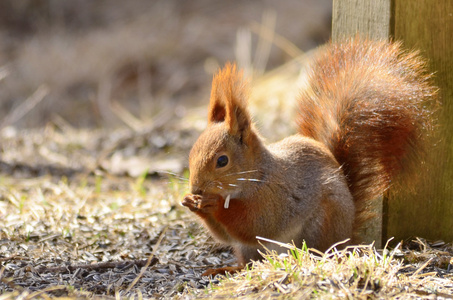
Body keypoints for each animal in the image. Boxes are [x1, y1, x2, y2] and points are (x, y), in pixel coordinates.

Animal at [180, 38, 434, 276]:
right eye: (190, 154)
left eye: (222, 161)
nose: (196, 188)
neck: (257, 175)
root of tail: (347, 234)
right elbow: (225, 235)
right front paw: (191, 202)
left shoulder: (275, 197)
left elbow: (255, 223)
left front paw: (212, 204)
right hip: (249, 249)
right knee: (249, 264)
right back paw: (228, 269)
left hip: (321, 225)